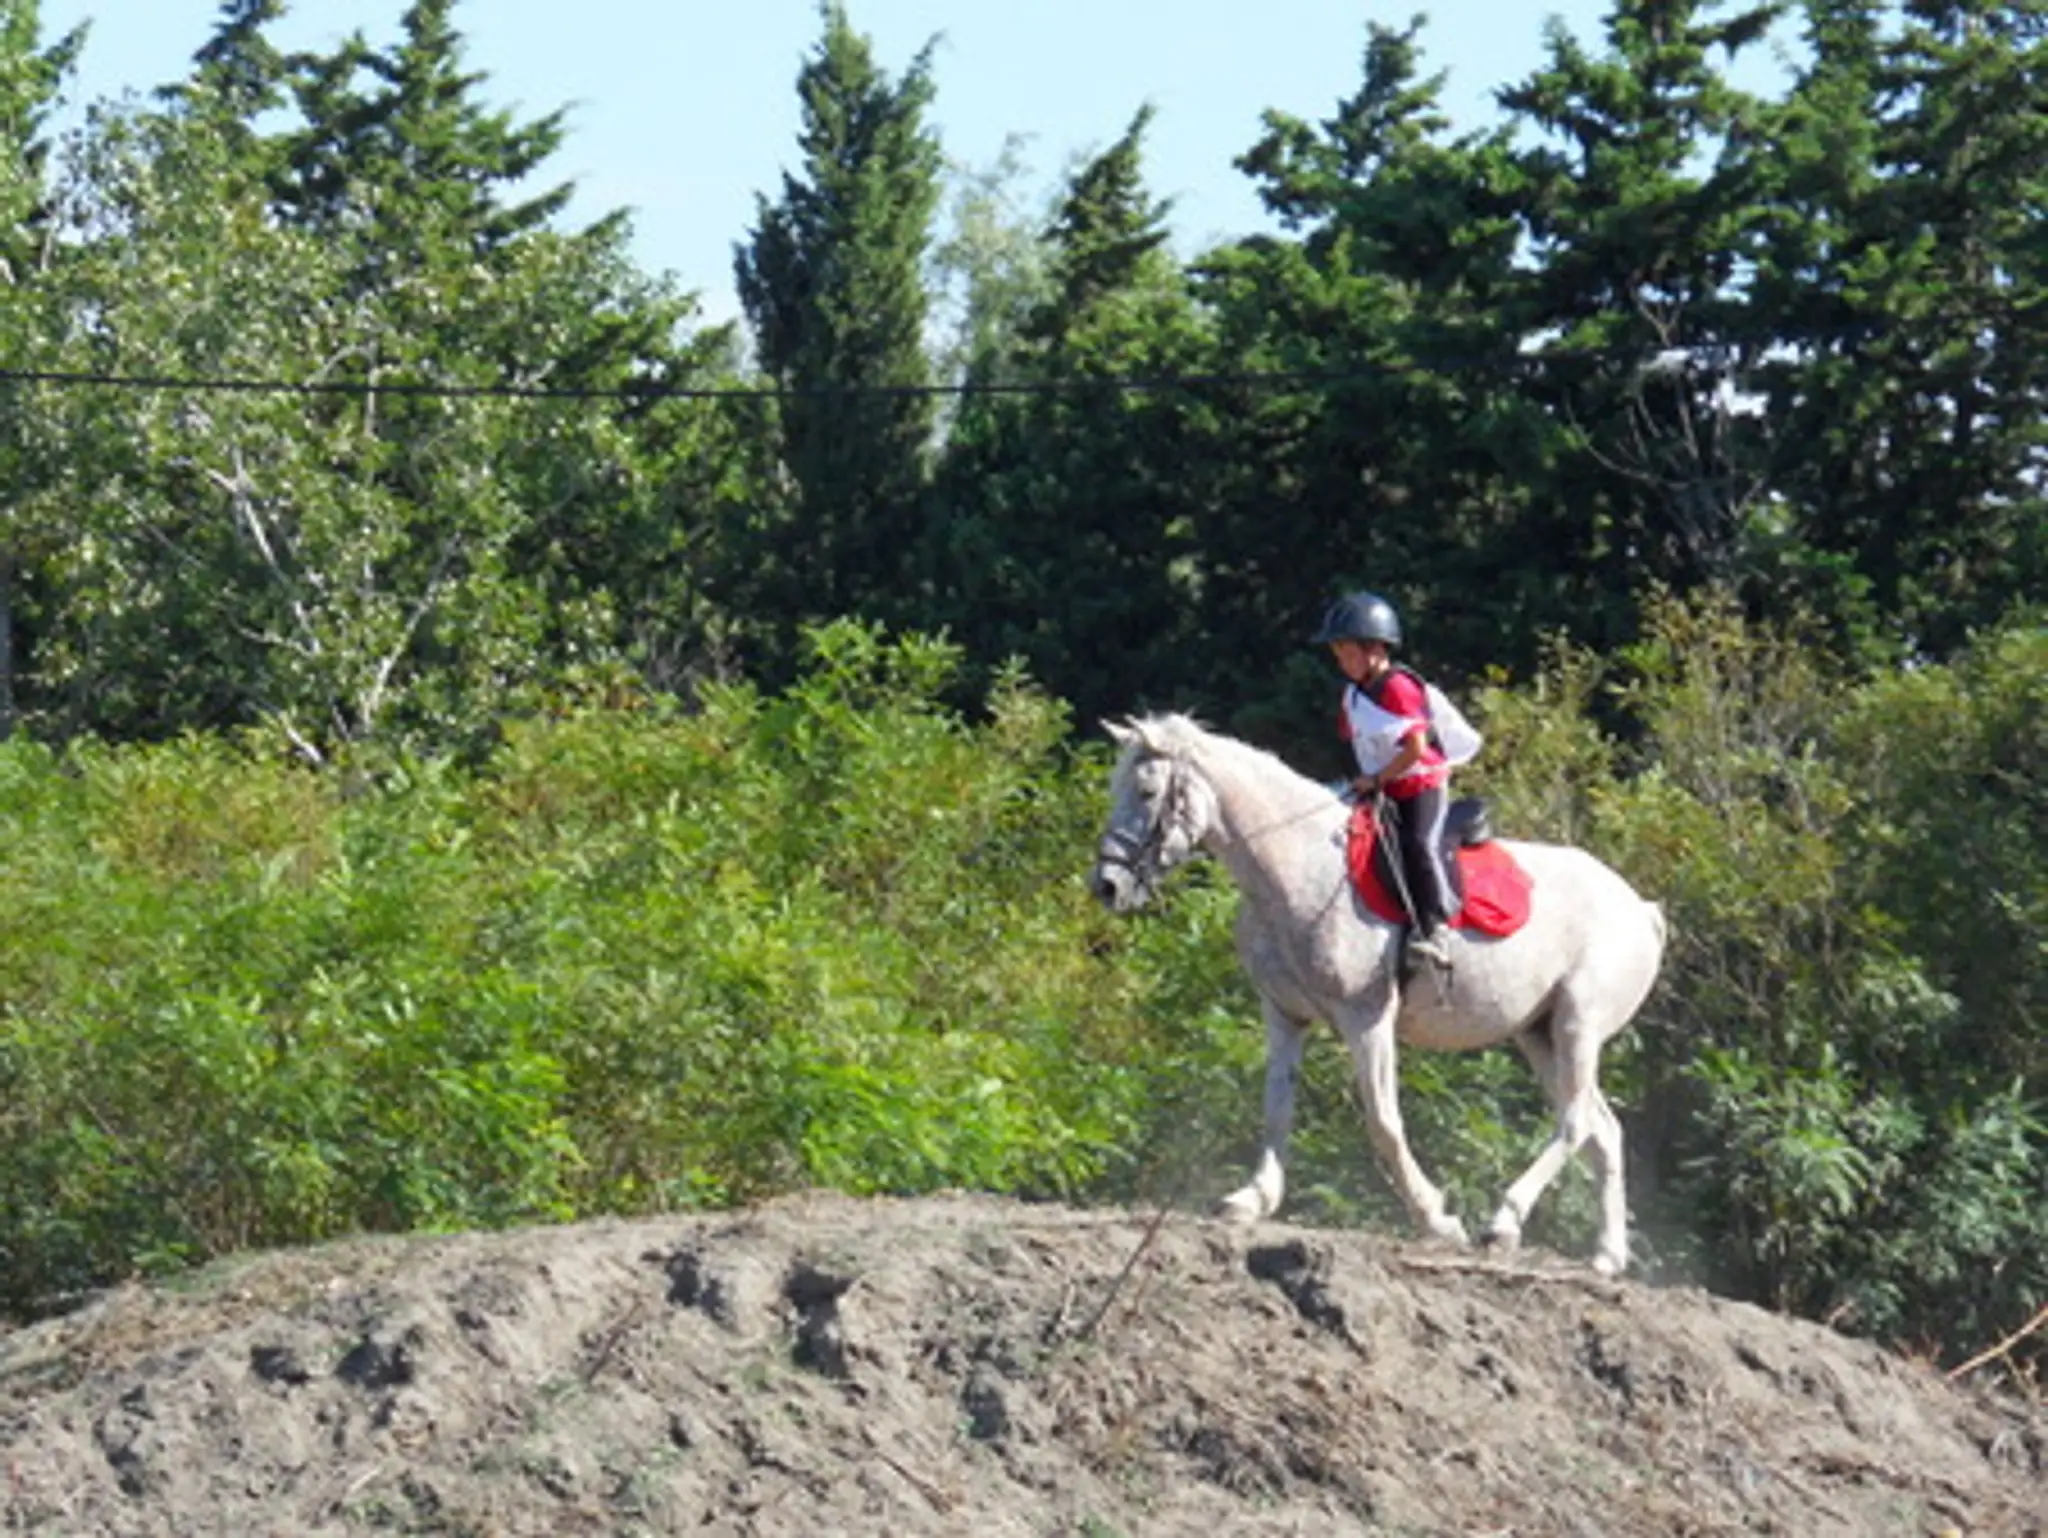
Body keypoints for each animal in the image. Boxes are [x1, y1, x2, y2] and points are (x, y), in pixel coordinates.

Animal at [1090, 712, 1666, 1275]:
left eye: (1146, 791)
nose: (1107, 887)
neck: (1296, 865)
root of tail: (1640, 909)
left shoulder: (1365, 1018)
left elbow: (1384, 1122)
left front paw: (1436, 1218)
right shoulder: (1284, 1014)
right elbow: (1276, 1108)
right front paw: (1252, 1198)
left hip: (1578, 1023)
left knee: (1575, 1120)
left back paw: (1503, 1222)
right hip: (1538, 1035)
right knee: (1603, 1128)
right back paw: (1607, 1255)